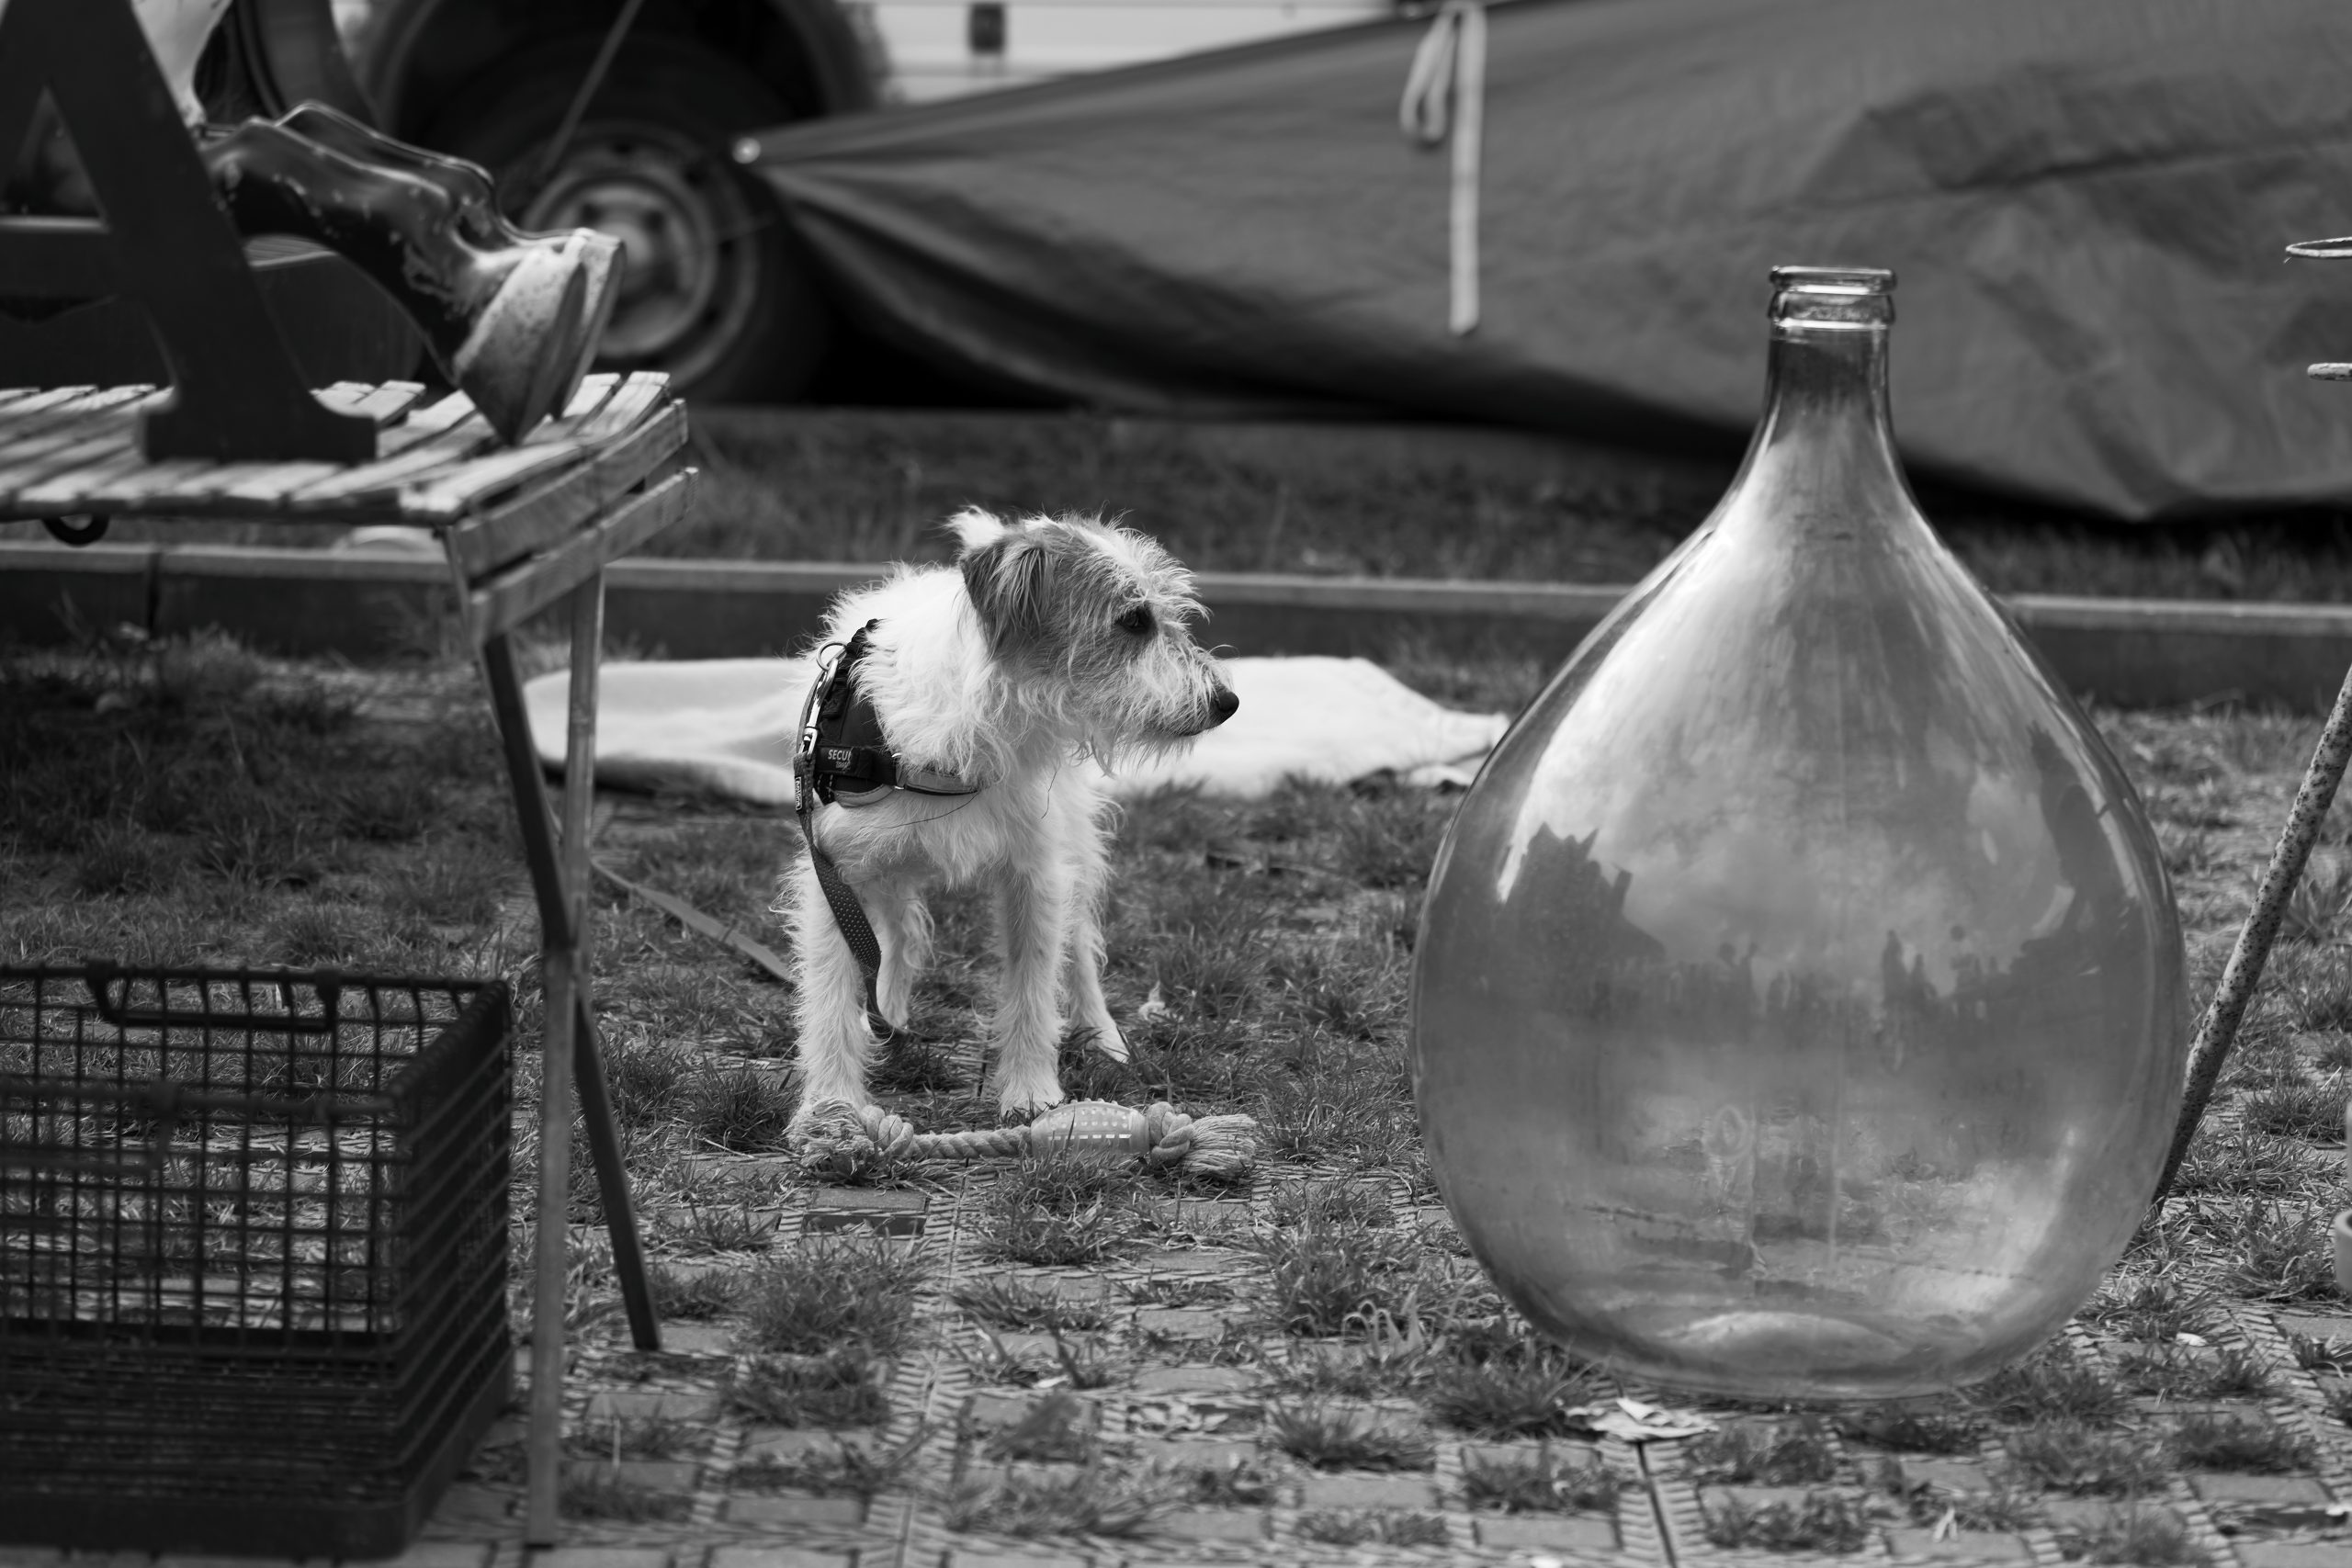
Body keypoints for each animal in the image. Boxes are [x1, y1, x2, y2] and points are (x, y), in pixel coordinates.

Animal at [780, 507, 1238, 1124]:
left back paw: (1103, 1037)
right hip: (888, 869)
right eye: (1134, 619)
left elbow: (1033, 989)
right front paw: (831, 1108)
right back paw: (885, 1014)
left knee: (1081, 950)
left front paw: (1031, 1094)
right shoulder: (835, 876)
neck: (965, 734)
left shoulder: (1037, 874)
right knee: (898, 934)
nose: (1226, 703)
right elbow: (829, 996)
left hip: (1078, 851)